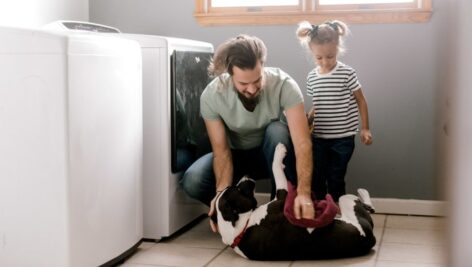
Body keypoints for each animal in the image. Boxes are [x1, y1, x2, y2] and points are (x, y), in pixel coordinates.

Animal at [212, 144, 378, 262]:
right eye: (238, 189)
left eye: (233, 187)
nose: (246, 174)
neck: (240, 228)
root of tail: (371, 240)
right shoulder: (282, 196)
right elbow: (277, 170)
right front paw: (279, 151)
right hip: (348, 202)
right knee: (366, 206)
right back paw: (364, 194)